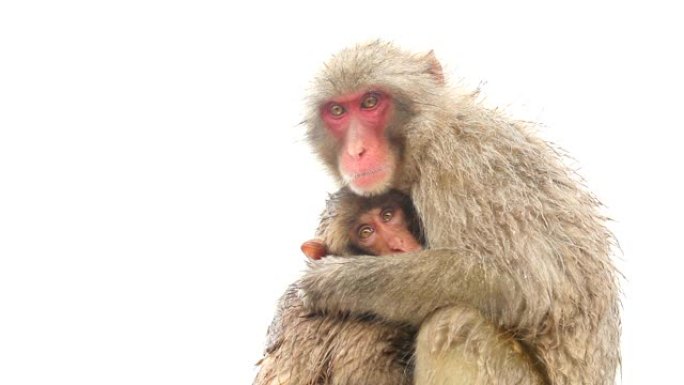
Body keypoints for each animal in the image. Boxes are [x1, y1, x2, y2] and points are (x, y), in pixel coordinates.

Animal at [255, 42, 620, 384]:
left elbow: (519, 284)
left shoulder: (457, 164)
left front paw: (335, 282)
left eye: (371, 102)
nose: (357, 150)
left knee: (455, 323)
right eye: (337, 110)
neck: (423, 136)